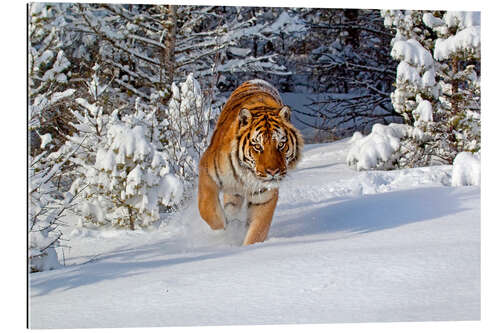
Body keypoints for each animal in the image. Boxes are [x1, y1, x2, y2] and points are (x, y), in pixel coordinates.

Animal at [197, 78, 302, 244]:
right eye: (257, 146)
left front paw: (250, 247)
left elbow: (258, 230)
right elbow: (206, 207)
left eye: (280, 145)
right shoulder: (207, 172)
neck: (246, 173)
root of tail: (257, 80)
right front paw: (224, 227)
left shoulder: (264, 197)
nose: (273, 172)